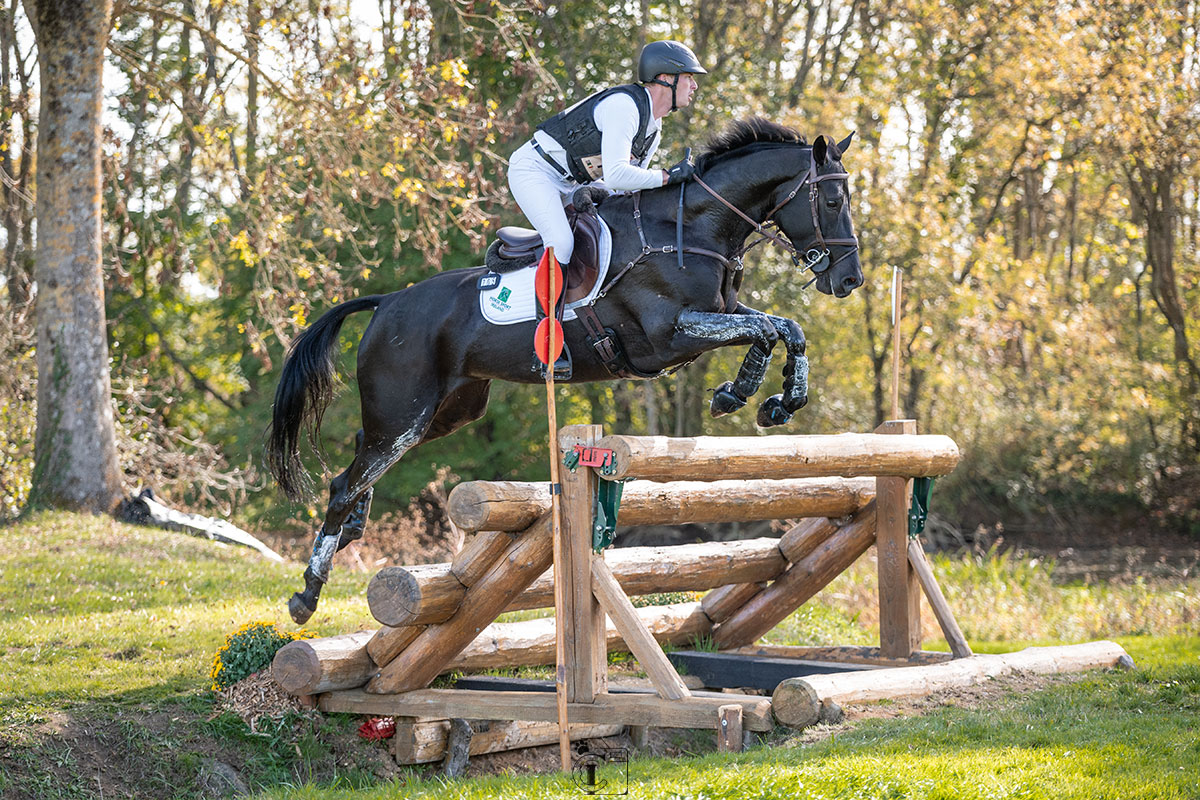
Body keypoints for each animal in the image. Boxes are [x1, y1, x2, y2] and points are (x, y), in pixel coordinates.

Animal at [267, 117, 864, 623]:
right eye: (833, 199)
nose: (850, 280)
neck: (689, 229)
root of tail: (387, 302)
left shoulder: (715, 318)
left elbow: (784, 328)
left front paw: (769, 398)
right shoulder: (668, 337)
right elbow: (767, 327)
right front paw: (746, 394)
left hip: (446, 411)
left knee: (356, 467)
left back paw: (348, 533)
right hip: (405, 413)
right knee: (347, 482)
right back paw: (307, 593)